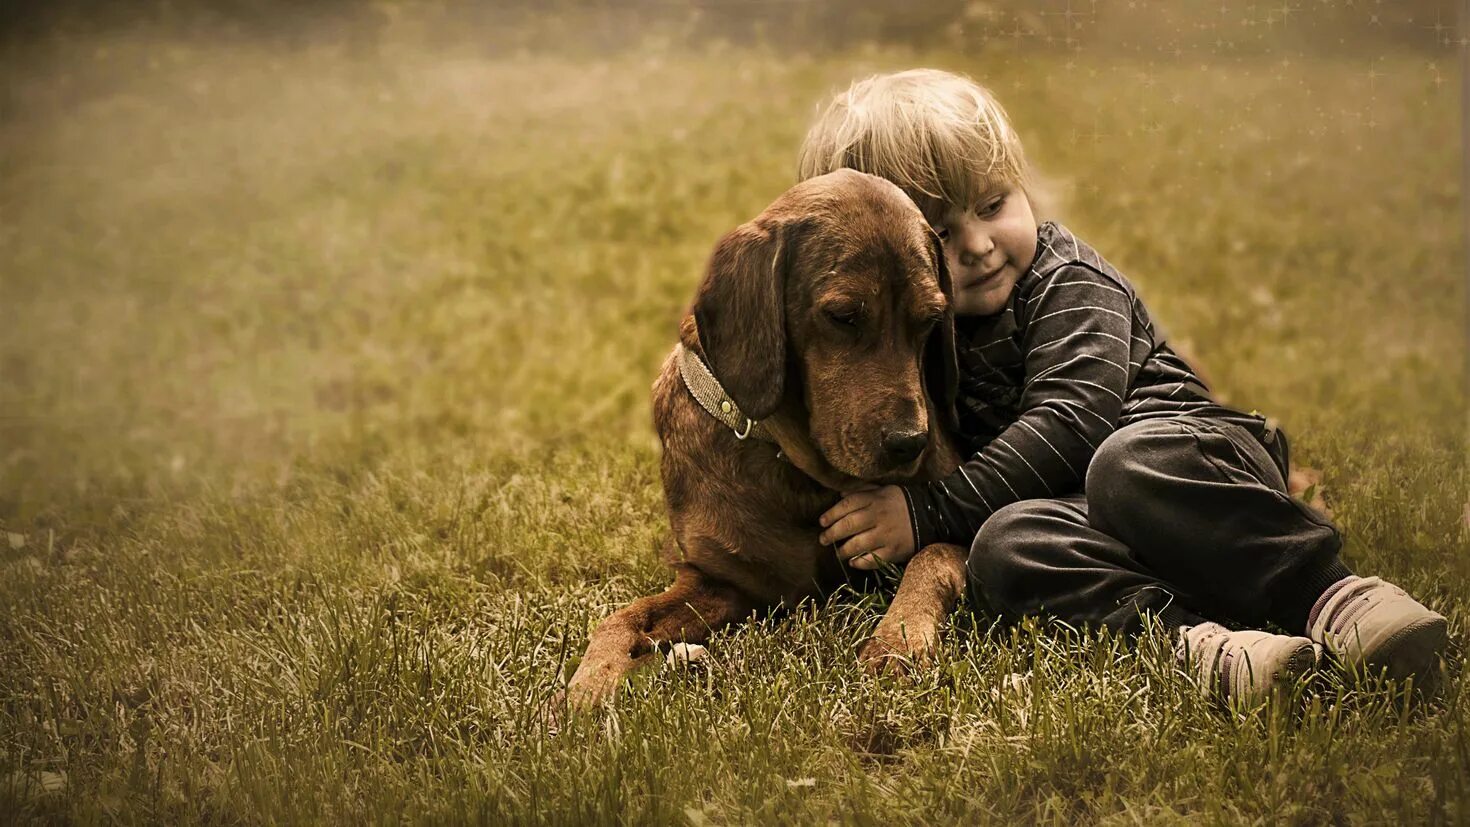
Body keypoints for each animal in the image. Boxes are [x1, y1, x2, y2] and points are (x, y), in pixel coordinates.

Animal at [558, 169, 964, 710]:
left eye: (932, 320)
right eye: (843, 315)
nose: (909, 443)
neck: (798, 469)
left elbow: (930, 556)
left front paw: (898, 640)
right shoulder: (723, 584)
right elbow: (621, 618)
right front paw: (585, 685)